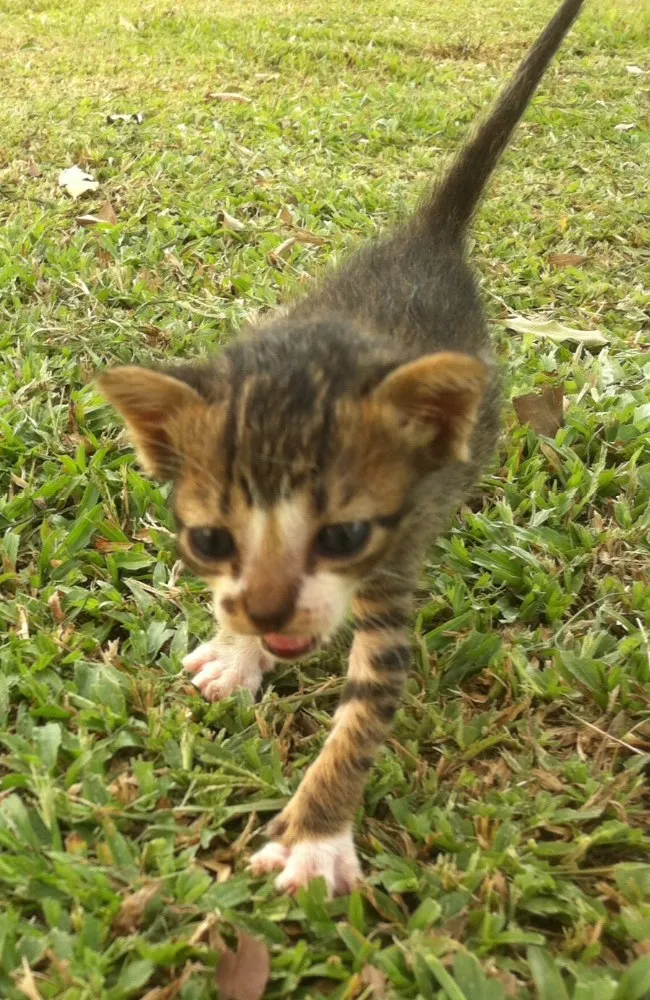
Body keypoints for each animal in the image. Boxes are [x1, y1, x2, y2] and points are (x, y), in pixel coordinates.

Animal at [100, 0, 584, 900]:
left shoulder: (391, 574)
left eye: (345, 536)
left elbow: (362, 720)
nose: (267, 616)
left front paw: (317, 836)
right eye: (209, 539)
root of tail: (428, 240)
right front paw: (238, 652)